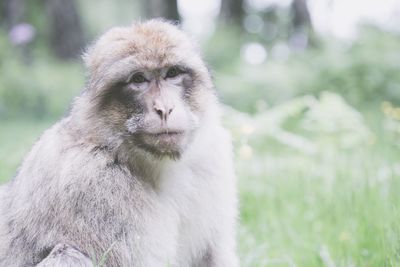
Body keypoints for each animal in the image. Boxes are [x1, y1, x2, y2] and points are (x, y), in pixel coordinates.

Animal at [0, 19, 238, 266]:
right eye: (138, 79)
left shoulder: (211, 158)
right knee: (69, 255)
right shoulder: (96, 187)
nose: (165, 109)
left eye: (172, 73)